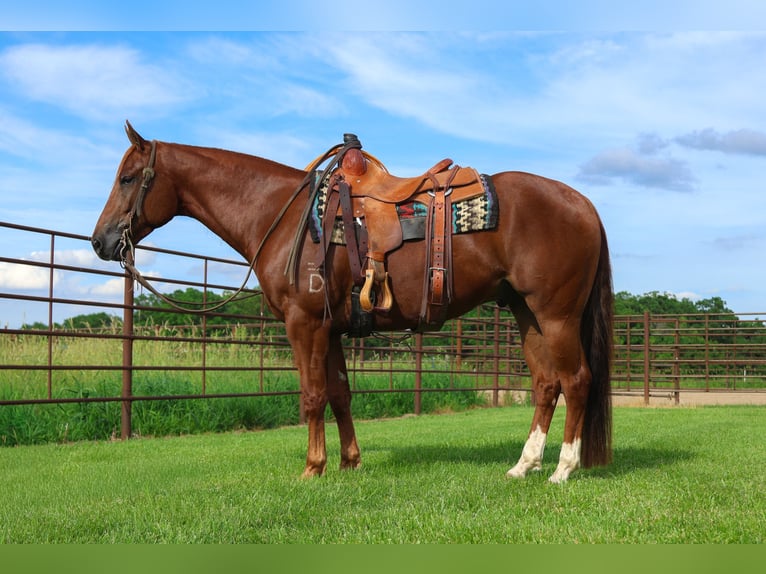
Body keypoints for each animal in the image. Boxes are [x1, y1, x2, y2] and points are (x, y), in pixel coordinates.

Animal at [91, 122, 614, 483]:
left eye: (128, 178)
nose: (100, 241)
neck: (282, 216)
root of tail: (584, 204)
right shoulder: (333, 328)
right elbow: (340, 394)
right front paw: (349, 462)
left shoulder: (304, 324)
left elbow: (312, 395)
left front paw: (312, 467)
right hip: (528, 315)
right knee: (547, 384)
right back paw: (523, 466)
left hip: (556, 315)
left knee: (576, 380)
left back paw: (562, 470)